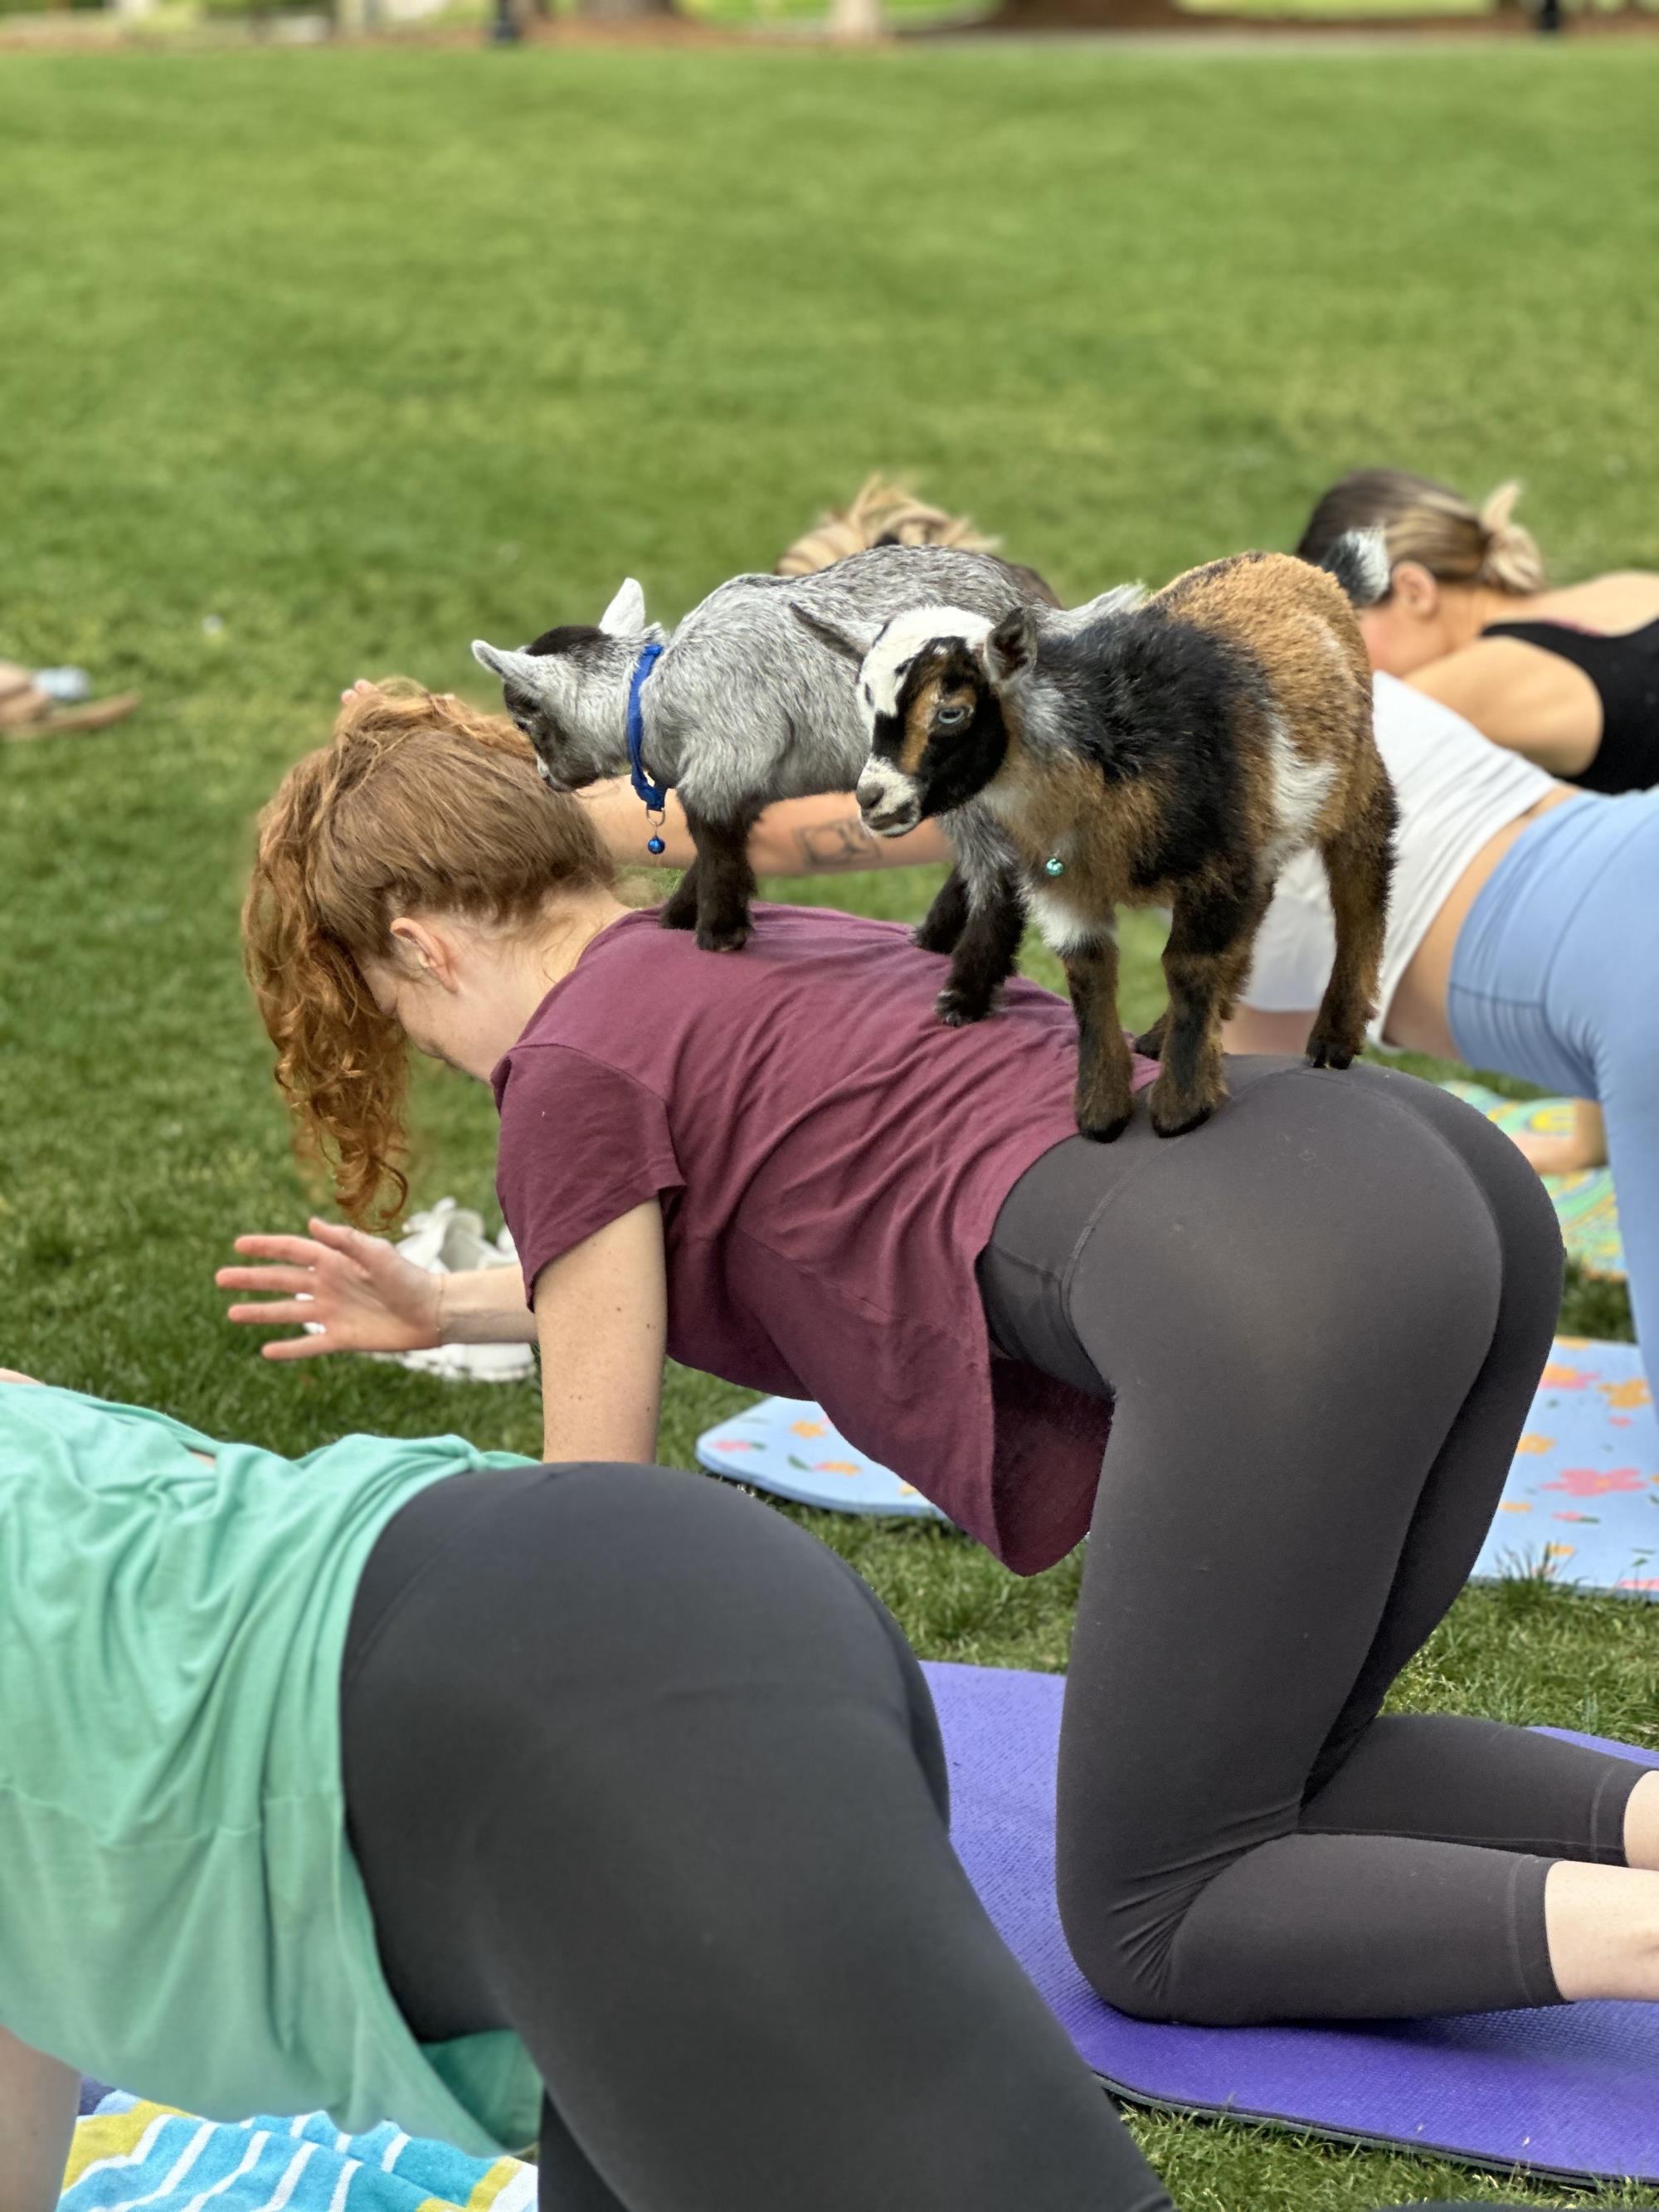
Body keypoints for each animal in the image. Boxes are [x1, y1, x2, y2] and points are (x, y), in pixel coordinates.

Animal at [473, 546, 1057, 960]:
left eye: (524, 720)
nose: (546, 777)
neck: (653, 692)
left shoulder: (727, 757)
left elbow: (715, 842)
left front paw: (718, 934)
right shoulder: (743, 783)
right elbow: (720, 845)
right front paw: (678, 915)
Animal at [805, 533, 1407, 1141]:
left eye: (951, 713)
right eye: (864, 702)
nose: (871, 798)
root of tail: (1305, 568)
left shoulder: (1215, 868)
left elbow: (1187, 966)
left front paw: (1181, 1107)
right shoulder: (1067, 886)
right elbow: (1089, 975)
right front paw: (1102, 1112)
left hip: (1354, 783)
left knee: (1362, 888)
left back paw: (1333, 1038)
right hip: (1258, 835)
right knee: (1258, 908)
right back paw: (1165, 1035)